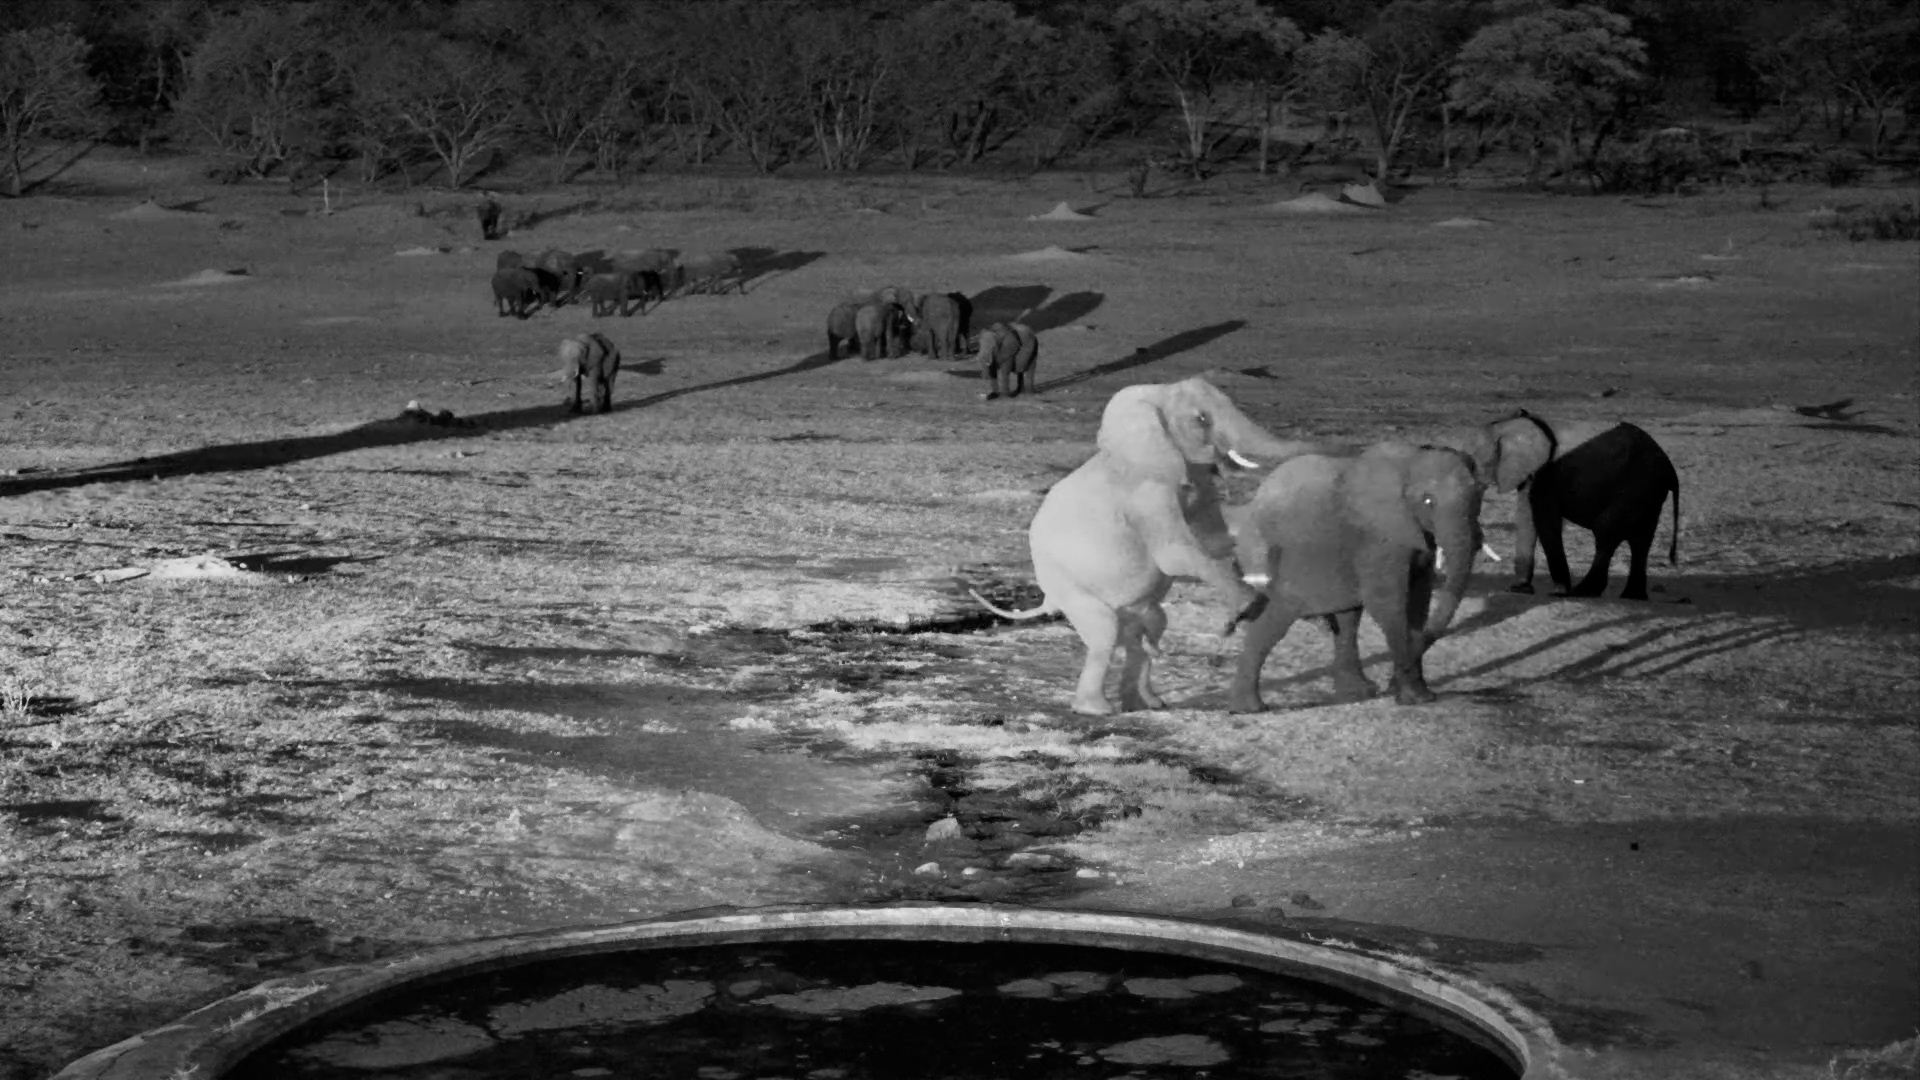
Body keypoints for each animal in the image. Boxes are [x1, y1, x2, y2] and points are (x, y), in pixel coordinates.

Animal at [970, 377, 1329, 716]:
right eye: (1201, 419)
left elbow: (1215, 537)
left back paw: (1147, 703)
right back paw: (1097, 709)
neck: (1156, 399)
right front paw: (1251, 605)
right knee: (1105, 631)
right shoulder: (1147, 493)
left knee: (1149, 629)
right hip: (1070, 586)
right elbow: (1175, 553)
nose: (1321, 448)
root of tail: (1046, 598)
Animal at [1222, 443, 1485, 713]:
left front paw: (1423, 696)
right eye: (1428, 500)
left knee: (1347, 618)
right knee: (1274, 622)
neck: (1411, 460)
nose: (1390, 684)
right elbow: (1387, 603)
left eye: (1480, 494)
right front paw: (1412, 698)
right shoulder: (1379, 537)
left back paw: (1357, 692)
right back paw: (1249, 707)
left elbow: (1418, 602)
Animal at [1462, 410, 1680, 600]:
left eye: (1474, 465)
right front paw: (1519, 589)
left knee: (1606, 531)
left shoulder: (1546, 475)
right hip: (1648, 493)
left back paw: (1582, 592)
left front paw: (1557, 592)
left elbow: (1544, 522)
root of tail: (1670, 468)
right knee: (1641, 541)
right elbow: (1529, 520)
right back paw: (1632, 596)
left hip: (1635, 486)